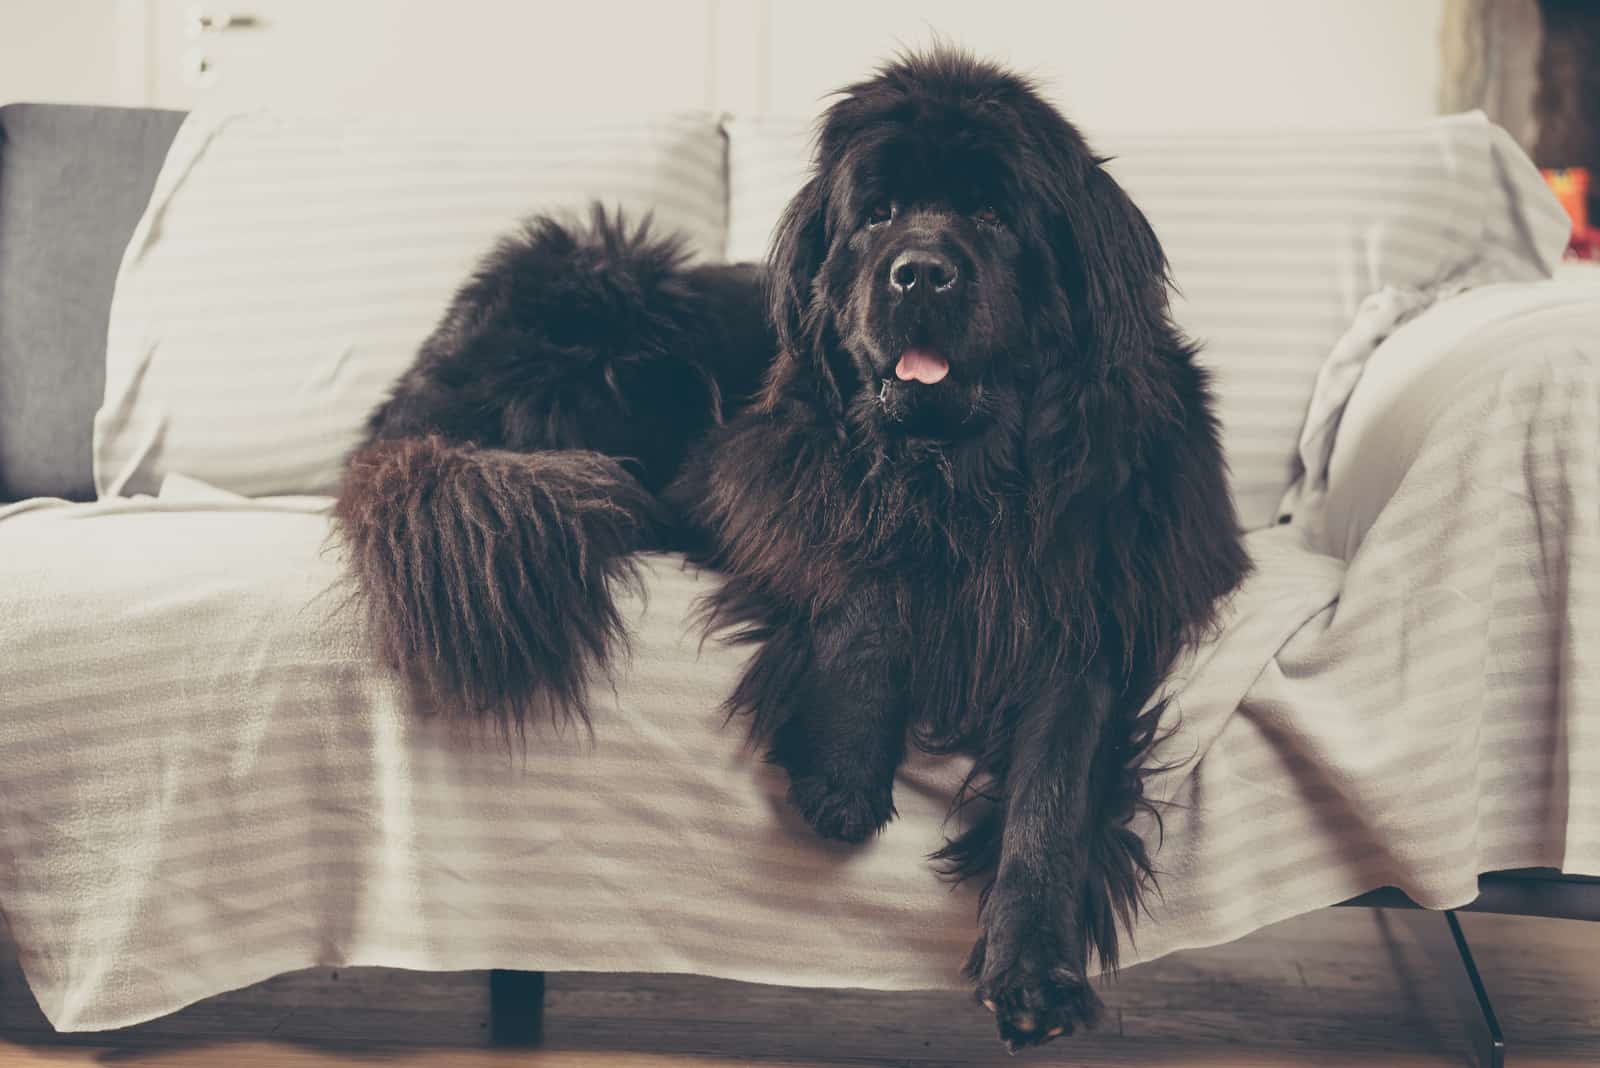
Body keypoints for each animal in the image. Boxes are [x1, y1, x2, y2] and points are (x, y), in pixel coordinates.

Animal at [334, 47, 1248, 1042]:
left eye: (995, 215)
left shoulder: (1093, 598)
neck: (959, 480)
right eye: (878, 212)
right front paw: (844, 766)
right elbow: (858, 567)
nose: (919, 275)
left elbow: (1057, 781)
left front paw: (1035, 969)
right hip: (613, 300)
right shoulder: (748, 476)